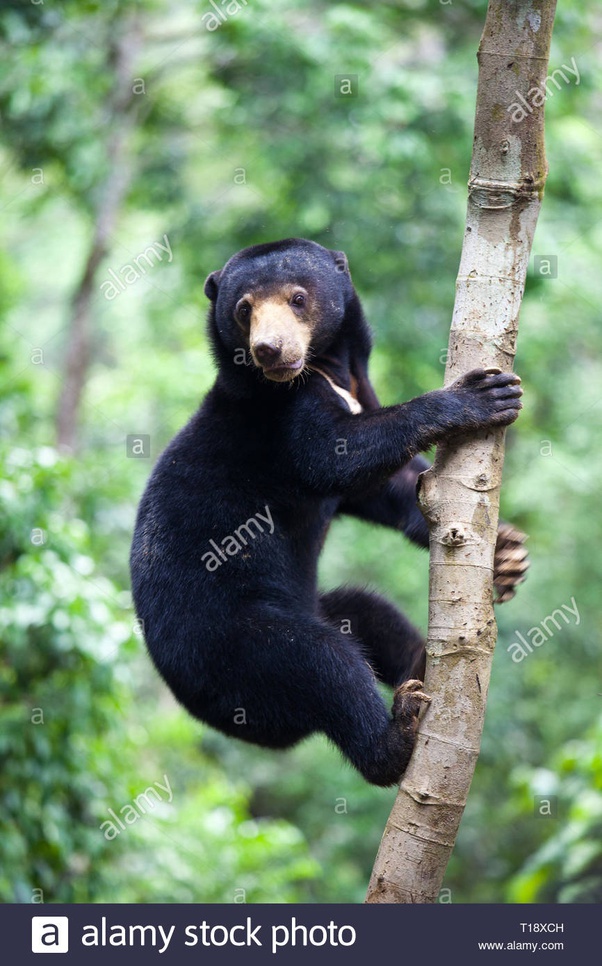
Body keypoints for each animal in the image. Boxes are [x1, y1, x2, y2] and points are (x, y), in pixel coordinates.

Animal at [130, 238, 527, 787]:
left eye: (298, 298)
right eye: (244, 309)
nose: (269, 350)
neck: (327, 371)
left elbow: (392, 488)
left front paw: (508, 556)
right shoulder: (279, 419)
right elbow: (337, 456)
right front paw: (484, 395)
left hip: (313, 610)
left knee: (363, 610)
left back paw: (421, 666)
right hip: (232, 646)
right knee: (321, 665)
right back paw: (396, 736)